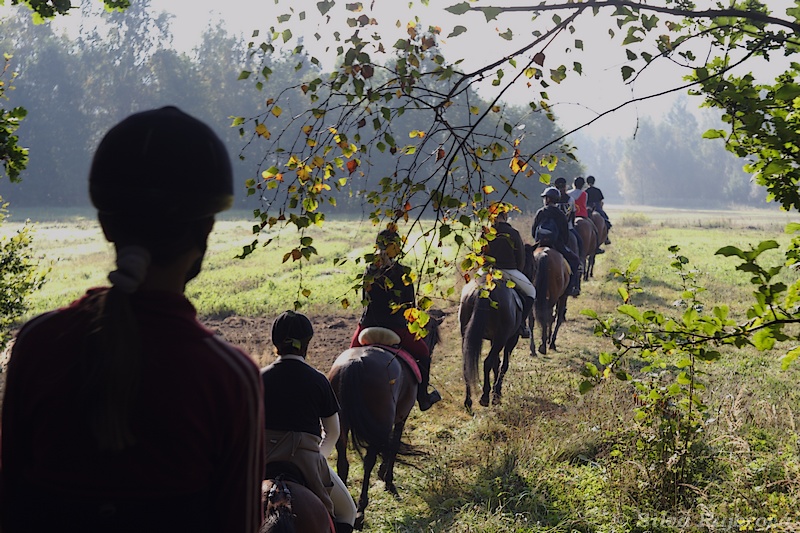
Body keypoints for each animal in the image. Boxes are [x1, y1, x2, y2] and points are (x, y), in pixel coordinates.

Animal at [326, 314, 444, 528]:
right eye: (431, 335)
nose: (430, 350)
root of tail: (353, 364)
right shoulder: (401, 417)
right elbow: (394, 444)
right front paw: (387, 480)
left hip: (342, 425)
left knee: (343, 463)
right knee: (368, 461)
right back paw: (360, 512)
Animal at [460, 247, 536, 410]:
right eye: (533, 266)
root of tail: (483, 289)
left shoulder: (492, 339)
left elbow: (497, 363)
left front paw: (497, 393)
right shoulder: (511, 339)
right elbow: (503, 364)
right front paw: (496, 394)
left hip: (466, 335)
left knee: (467, 366)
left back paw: (468, 402)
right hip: (502, 338)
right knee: (487, 362)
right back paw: (485, 397)